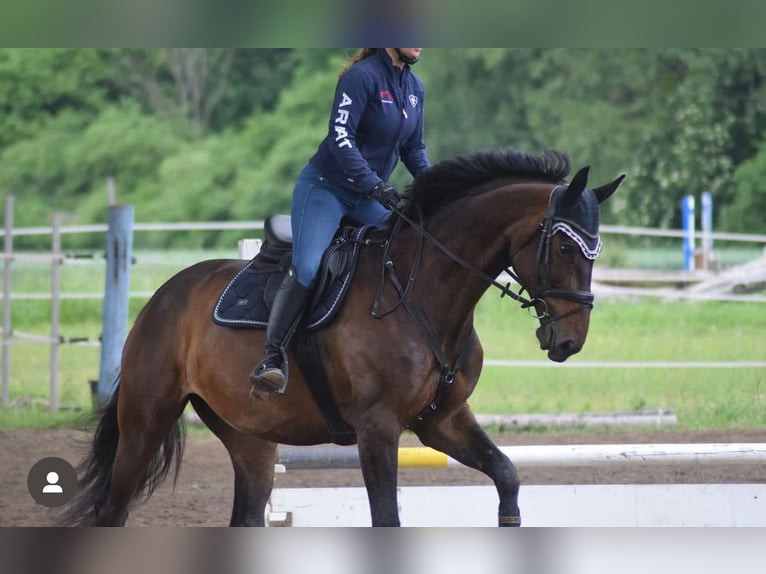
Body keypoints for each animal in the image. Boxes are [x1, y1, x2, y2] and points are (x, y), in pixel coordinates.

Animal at [58, 147, 624, 528]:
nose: (569, 341)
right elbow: (386, 518)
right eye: (567, 248)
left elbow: (507, 476)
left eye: (595, 251)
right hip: (146, 420)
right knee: (112, 509)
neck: (426, 290)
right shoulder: (377, 429)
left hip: (249, 438)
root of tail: (164, 295)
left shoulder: (442, 421)